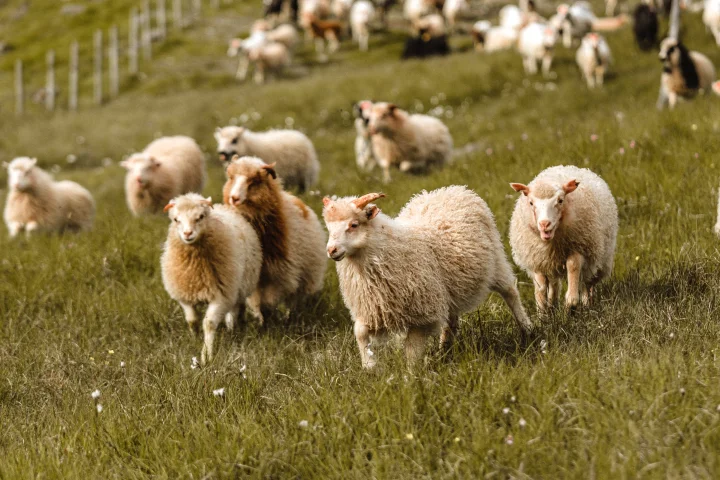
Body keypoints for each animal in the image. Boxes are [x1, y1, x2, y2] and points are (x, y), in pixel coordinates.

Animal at [161, 193, 262, 365]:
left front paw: (206, 355)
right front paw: (194, 337)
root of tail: (222, 206)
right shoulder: (184, 295)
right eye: (176, 219)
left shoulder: (221, 295)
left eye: (200, 217)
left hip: (236, 288)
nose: (187, 233)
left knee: (233, 311)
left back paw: (231, 330)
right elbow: (192, 320)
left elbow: (208, 323)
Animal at [223, 156, 326, 325]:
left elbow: (268, 303)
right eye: (231, 178)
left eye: (255, 181)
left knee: (296, 299)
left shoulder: (280, 276)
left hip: (307, 276)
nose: (234, 198)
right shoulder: (256, 277)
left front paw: (268, 322)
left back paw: (292, 316)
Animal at [322, 187, 533, 368]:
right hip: (449, 288)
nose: (331, 250)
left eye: (353, 225)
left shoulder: (422, 312)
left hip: (496, 262)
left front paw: (410, 378)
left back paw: (528, 328)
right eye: (329, 229)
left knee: (510, 292)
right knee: (451, 321)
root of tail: (451, 190)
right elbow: (360, 332)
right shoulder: (372, 309)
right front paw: (369, 366)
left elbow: (412, 350)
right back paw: (444, 350)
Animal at [509, 165, 618, 313]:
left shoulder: (578, 247)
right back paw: (553, 304)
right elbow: (541, 287)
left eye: (560, 200)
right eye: (531, 203)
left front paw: (571, 305)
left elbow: (573, 267)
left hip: (598, 257)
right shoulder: (537, 258)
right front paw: (543, 312)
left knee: (587, 282)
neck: (552, 242)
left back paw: (586, 304)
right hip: (551, 263)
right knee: (555, 284)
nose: (544, 224)